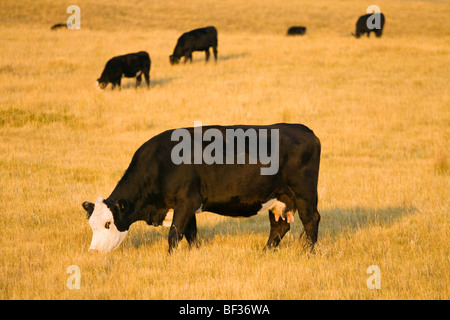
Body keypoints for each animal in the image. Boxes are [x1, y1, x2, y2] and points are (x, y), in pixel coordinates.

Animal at [81, 124, 320, 254]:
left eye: (108, 223)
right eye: (91, 224)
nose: (93, 251)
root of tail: (303, 129)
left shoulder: (186, 202)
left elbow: (174, 234)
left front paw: (170, 259)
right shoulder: (186, 206)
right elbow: (191, 234)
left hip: (304, 194)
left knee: (311, 220)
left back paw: (309, 253)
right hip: (278, 198)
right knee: (279, 227)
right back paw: (264, 252)